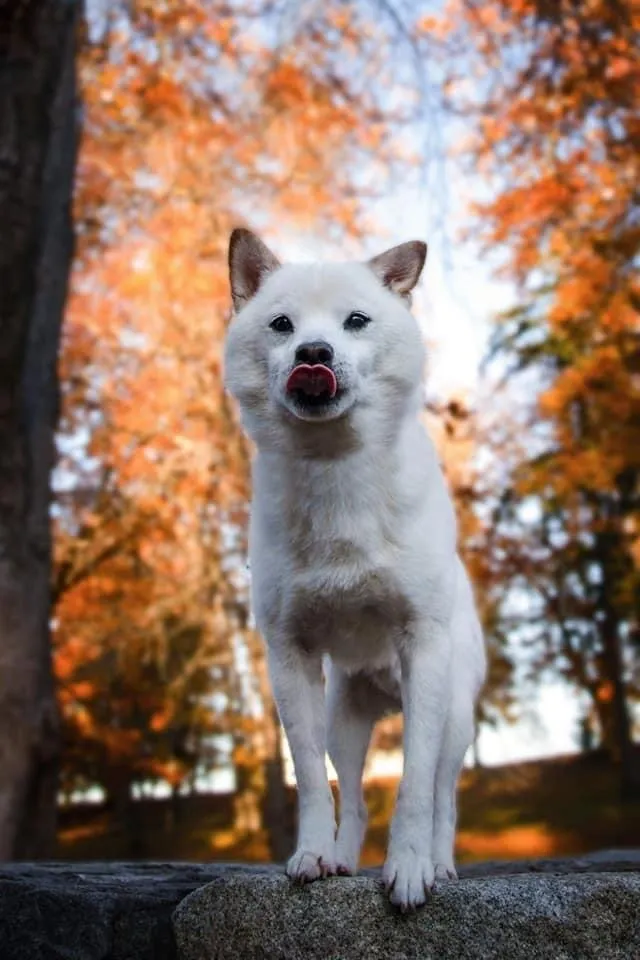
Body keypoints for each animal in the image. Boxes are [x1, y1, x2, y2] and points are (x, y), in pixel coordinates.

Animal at [224, 229, 484, 912]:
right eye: (282, 325)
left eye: (356, 321)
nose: (314, 352)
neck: (334, 473)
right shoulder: (288, 655)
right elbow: (313, 780)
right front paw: (313, 856)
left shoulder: (423, 646)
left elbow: (414, 791)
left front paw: (411, 870)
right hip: (346, 719)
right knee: (357, 798)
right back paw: (341, 858)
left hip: (453, 717)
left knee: (444, 799)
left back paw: (441, 863)